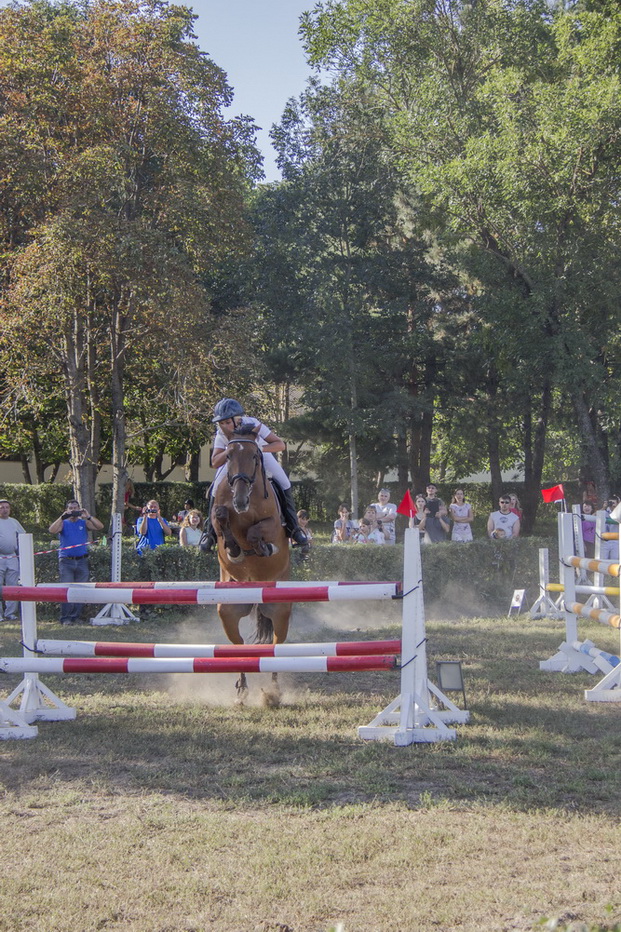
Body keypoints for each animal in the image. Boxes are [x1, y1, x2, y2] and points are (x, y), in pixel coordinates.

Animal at [209, 426, 292, 704]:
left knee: (276, 646)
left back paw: (274, 693)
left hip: (280, 611)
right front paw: (234, 549)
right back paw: (242, 690)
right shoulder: (219, 515)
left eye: (256, 457)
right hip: (228, 611)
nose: (241, 501)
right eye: (228, 456)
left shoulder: (273, 524)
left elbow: (257, 532)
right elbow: (221, 517)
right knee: (239, 647)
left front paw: (263, 548)